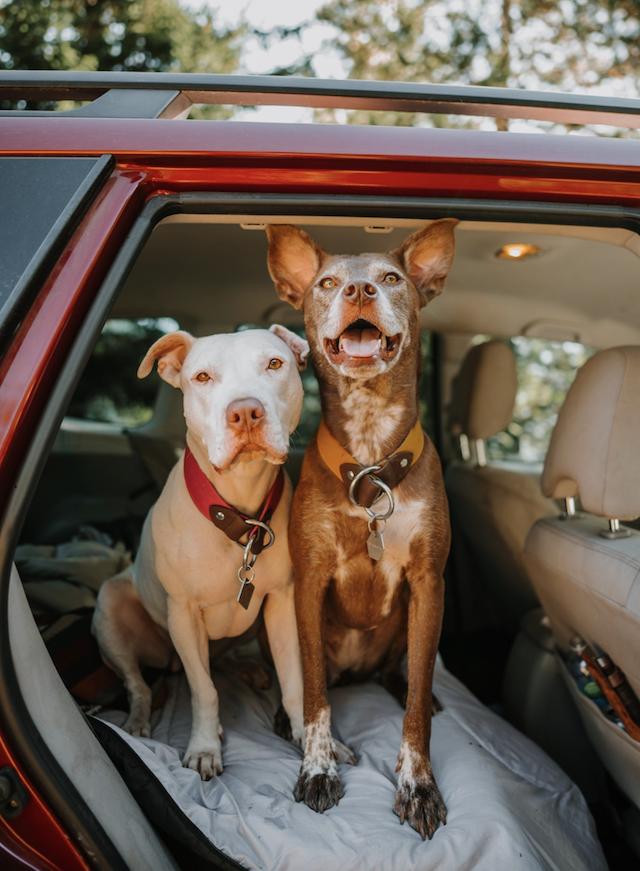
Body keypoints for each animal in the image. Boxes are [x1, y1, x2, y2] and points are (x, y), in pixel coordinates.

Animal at [91, 326, 308, 776]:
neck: (238, 515)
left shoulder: (282, 603)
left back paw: (247, 668)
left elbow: (294, 681)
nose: (245, 412)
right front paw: (206, 747)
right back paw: (138, 722)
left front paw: (317, 744)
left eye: (274, 364)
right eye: (203, 377)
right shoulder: (184, 614)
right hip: (113, 610)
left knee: (221, 659)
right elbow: (204, 690)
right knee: (138, 684)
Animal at [268, 221, 458, 840]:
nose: (357, 291)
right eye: (327, 283)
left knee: (407, 675)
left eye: (392, 278)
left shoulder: (428, 583)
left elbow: (418, 702)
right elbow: (314, 695)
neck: (372, 460)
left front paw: (417, 784)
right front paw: (318, 768)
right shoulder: (307, 583)